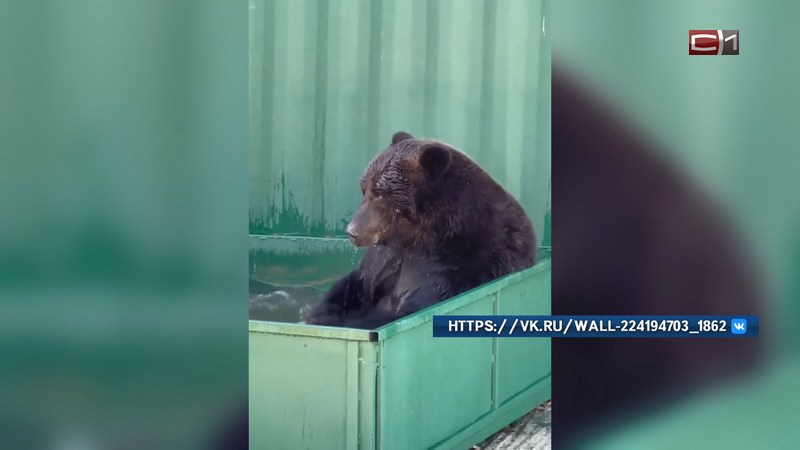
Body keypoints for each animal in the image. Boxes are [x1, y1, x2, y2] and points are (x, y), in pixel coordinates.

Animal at [303, 131, 537, 329]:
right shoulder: (387, 256)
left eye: (381, 193)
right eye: (364, 188)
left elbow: (407, 309)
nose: (352, 231)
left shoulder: (457, 267)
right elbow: (356, 284)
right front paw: (319, 311)